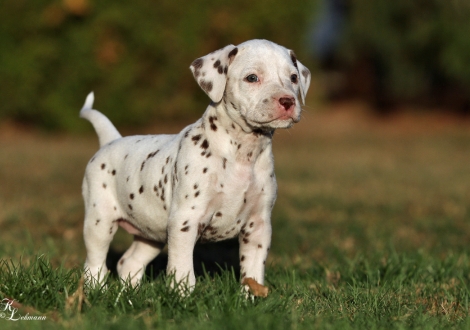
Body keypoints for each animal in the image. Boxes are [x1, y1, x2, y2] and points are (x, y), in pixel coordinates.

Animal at [79, 39, 310, 294]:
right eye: (252, 78)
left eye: (293, 78)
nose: (287, 101)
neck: (241, 153)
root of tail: (111, 140)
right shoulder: (184, 221)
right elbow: (182, 268)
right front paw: (181, 296)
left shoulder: (258, 226)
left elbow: (252, 270)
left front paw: (252, 296)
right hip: (99, 221)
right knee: (95, 263)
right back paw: (96, 290)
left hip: (151, 233)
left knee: (128, 262)